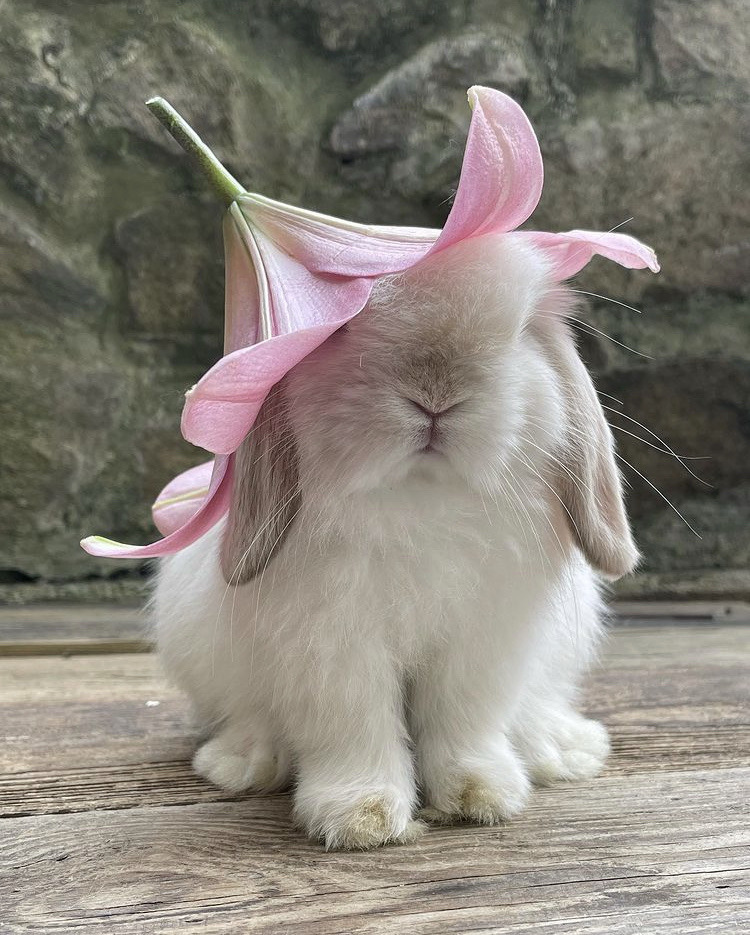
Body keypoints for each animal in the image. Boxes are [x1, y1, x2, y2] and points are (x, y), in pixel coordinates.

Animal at [154, 232, 637, 850]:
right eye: (338, 329)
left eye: (522, 328)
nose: (437, 393)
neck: (420, 501)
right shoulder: (332, 646)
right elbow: (353, 725)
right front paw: (361, 818)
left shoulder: (483, 642)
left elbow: (466, 718)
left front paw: (481, 796)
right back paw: (244, 762)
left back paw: (561, 749)